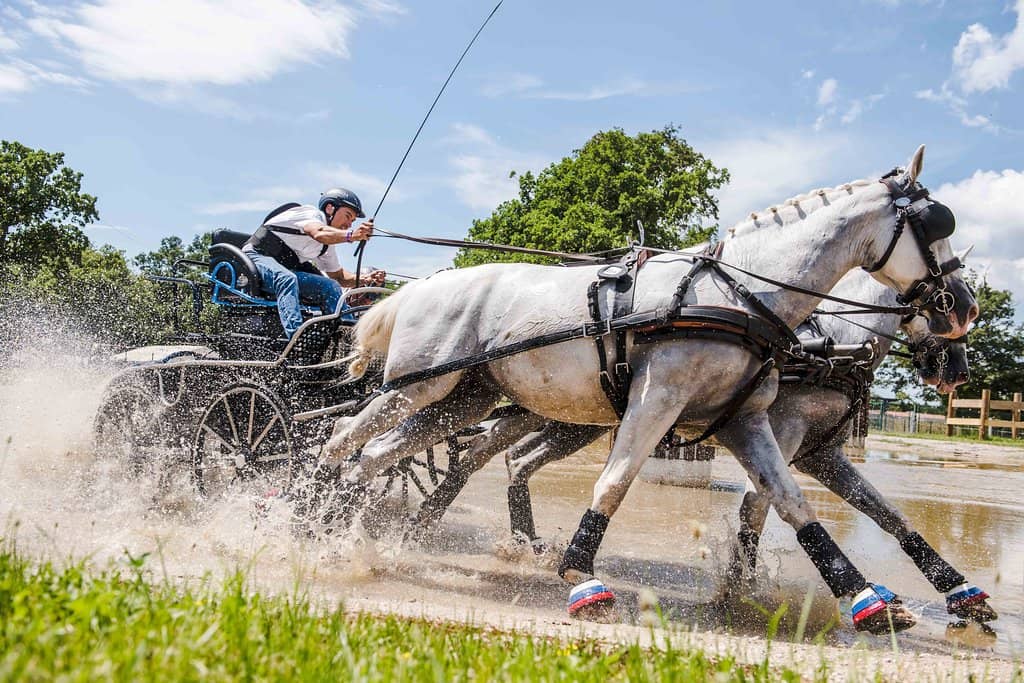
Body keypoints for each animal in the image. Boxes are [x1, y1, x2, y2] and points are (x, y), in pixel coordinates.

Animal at [322, 146, 978, 634]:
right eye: (937, 224)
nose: (963, 313)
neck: (743, 296)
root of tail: (421, 286)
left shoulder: (753, 423)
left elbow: (798, 502)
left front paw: (868, 596)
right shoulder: (659, 400)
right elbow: (616, 483)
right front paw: (582, 576)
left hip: (464, 399)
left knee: (387, 454)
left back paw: (358, 533)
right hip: (419, 388)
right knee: (342, 438)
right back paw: (319, 516)